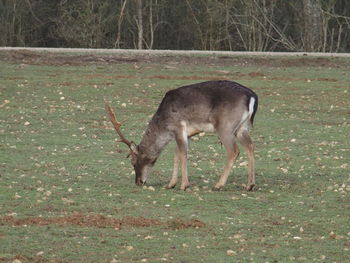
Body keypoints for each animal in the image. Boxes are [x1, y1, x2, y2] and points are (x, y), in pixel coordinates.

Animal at [105, 80, 258, 192]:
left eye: (133, 162)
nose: (138, 182)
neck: (164, 124)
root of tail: (252, 97)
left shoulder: (178, 127)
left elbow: (183, 154)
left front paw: (184, 185)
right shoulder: (188, 134)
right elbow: (177, 154)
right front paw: (170, 184)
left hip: (225, 127)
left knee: (234, 151)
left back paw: (218, 185)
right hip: (243, 127)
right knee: (250, 146)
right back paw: (249, 185)